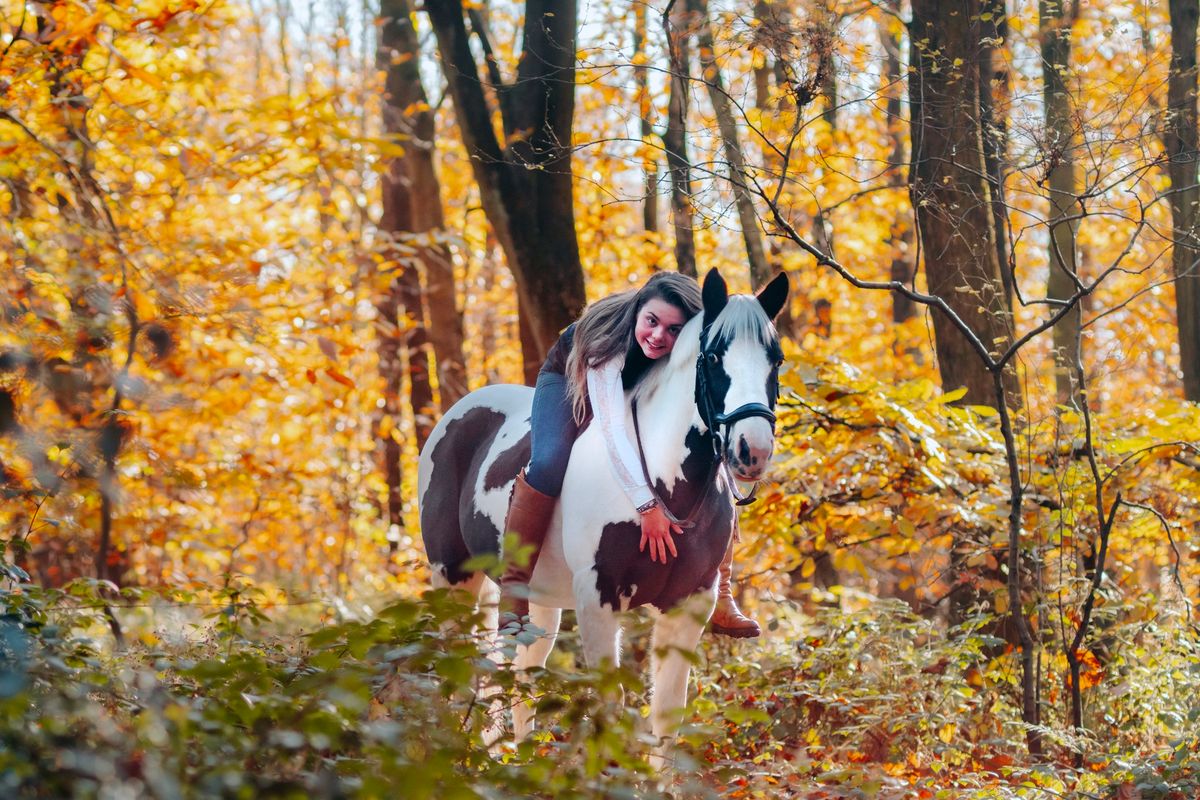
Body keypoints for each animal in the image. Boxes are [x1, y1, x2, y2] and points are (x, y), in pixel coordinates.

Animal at [412, 267, 787, 758]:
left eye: (775, 359)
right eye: (712, 356)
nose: (752, 450)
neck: (660, 482)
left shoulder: (690, 604)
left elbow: (667, 714)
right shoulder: (597, 597)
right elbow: (612, 706)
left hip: (540, 603)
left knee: (522, 675)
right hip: (454, 576)